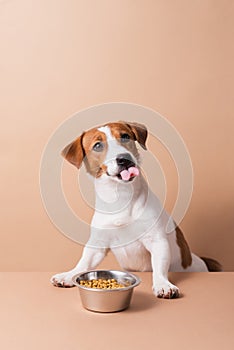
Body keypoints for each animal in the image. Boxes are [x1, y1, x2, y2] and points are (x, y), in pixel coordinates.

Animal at [50, 121, 221, 298]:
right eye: (97, 145)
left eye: (125, 136)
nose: (123, 158)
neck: (121, 197)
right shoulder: (98, 243)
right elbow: (85, 261)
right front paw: (69, 275)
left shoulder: (157, 241)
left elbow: (159, 266)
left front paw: (162, 284)